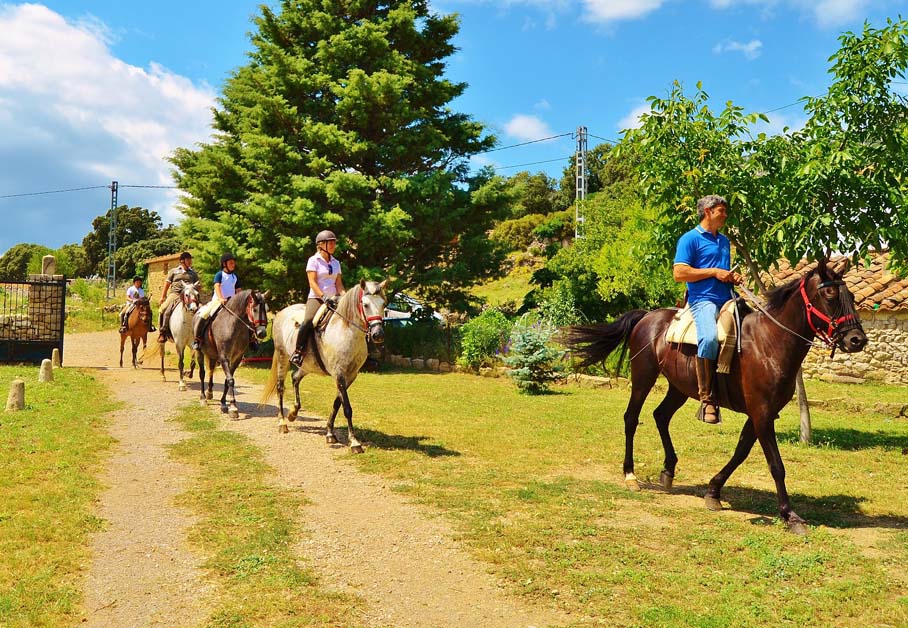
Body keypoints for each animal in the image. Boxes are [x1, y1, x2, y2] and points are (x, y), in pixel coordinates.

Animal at [196, 288, 270, 418]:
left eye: (266, 309)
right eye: (254, 309)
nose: (262, 333)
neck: (234, 325)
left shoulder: (237, 358)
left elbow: (228, 380)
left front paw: (224, 403)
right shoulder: (224, 357)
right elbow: (230, 379)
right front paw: (233, 408)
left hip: (213, 355)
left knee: (211, 371)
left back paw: (209, 393)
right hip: (200, 352)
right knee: (202, 373)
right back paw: (203, 398)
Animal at [258, 280, 386, 452]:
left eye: (383, 304)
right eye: (365, 304)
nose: (378, 335)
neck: (346, 331)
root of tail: (282, 312)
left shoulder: (350, 376)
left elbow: (337, 403)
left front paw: (330, 434)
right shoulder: (339, 374)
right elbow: (347, 408)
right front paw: (354, 442)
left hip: (307, 365)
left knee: (295, 378)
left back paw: (293, 413)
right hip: (282, 357)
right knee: (280, 388)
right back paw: (283, 423)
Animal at [564, 258, 868, 532]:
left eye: (852, 296)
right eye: (830, 294)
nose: (857, 340)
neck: (769, 342)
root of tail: (647, 317)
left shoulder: (761, 414)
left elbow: (741, 452)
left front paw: (713, 491)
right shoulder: (762, 414)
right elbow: (776, 465)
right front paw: (790, 516)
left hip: (679, 388)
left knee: (660, 416)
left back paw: (668, 471)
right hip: (643, 379)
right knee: (631, 418)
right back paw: (630, 475)